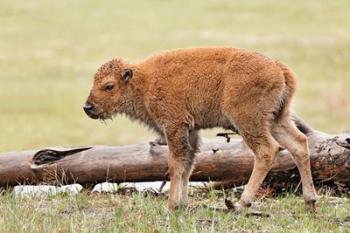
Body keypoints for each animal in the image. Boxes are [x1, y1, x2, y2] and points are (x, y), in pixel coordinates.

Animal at [85, 46, 318, 211]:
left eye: (109, 86)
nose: (88, 107)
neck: (143, 82)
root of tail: (278, 67)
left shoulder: (174, 126)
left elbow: (175, 165)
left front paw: (171, 205)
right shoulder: (190, 131)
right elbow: (188, 165)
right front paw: (182, 203)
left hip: (249, 122)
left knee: (267, 150)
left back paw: (241, 203)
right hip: (277, 119)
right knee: (299, 144)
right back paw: (310, 201)